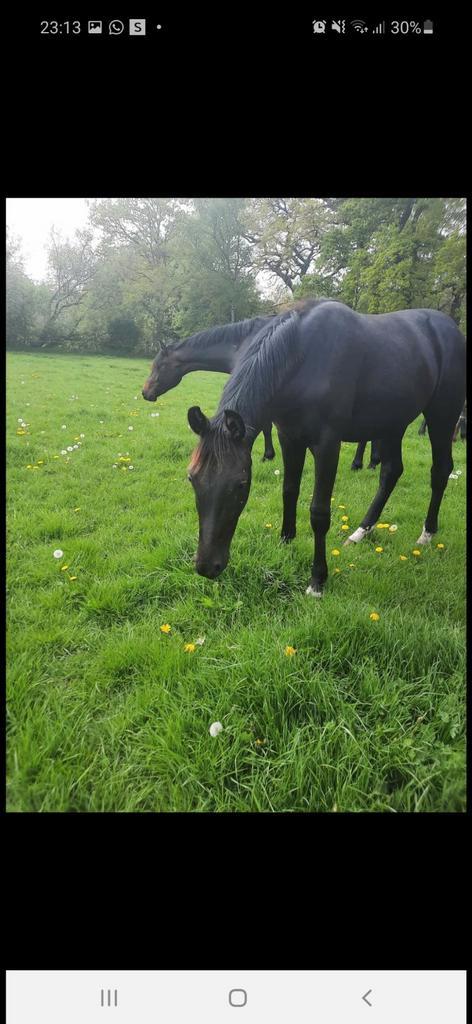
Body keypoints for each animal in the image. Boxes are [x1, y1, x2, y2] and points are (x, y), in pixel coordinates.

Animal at [185, 299, 462, 593]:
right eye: (192, 478)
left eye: (240, 484)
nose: (207, 567)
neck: (303, 357)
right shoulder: (289, 438)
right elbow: (289, 490)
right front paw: (286, 541)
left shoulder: (327, 445)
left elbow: (319, 512)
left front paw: (317, 579)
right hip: (392, 423)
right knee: (391, 472)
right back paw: (361, 532)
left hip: (442, 416)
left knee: (440, 470)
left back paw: (427, 534)